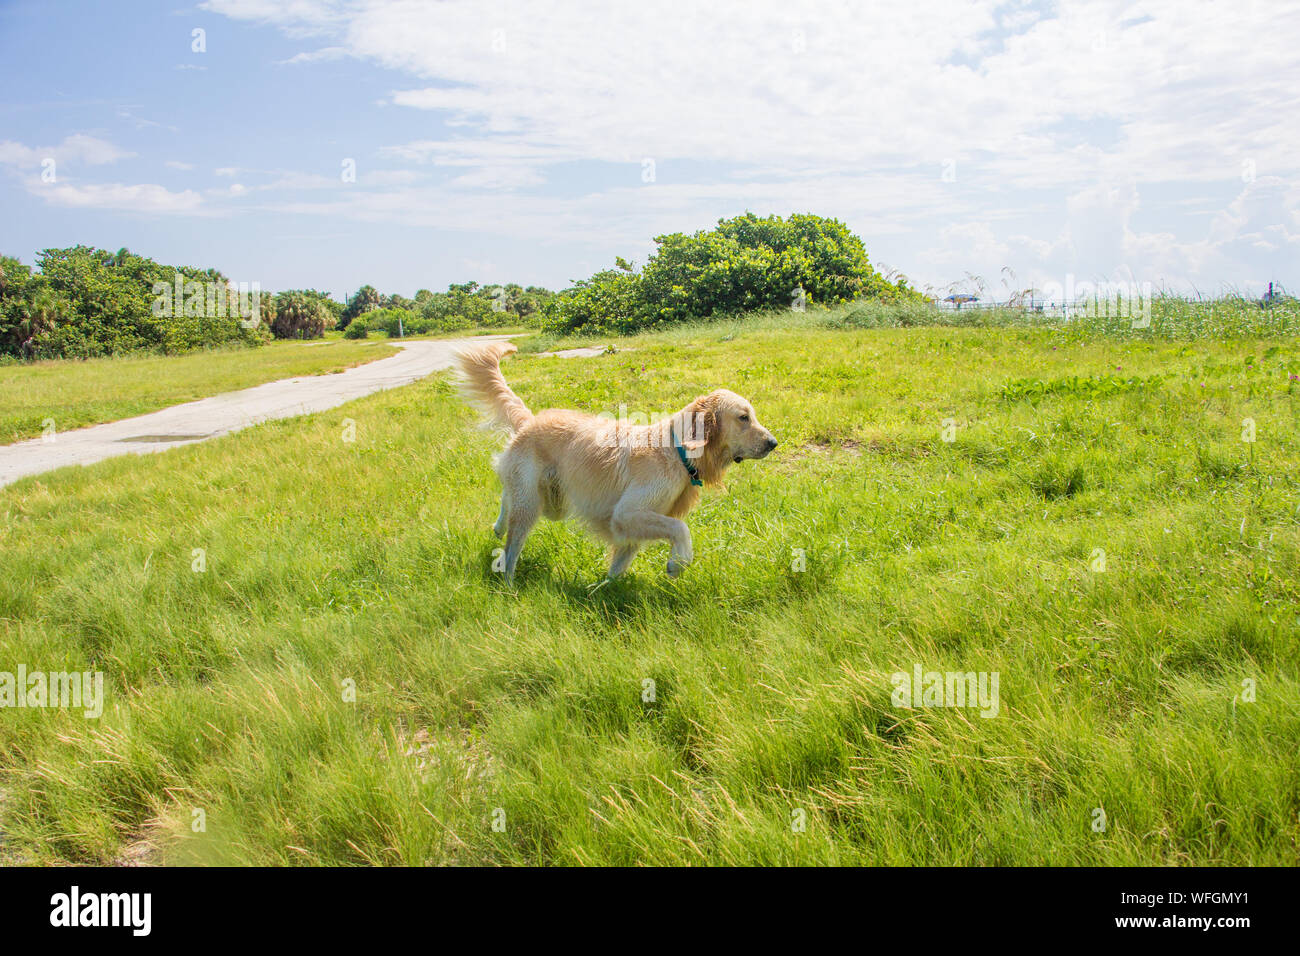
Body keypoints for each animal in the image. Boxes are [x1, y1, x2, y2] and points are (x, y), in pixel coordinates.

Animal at [454, 343, 774, 582]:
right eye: (743, 417)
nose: (774, 443)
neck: (677, 451)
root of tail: (530, 420)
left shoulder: (630, 530)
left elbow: (615, 572)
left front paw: (603, 589)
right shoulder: (627, 512)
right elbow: (680, 528)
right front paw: (678, 562)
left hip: (552, 503)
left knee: (507, 494)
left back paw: (497, 526)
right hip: (531, 506)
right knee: (511, 549)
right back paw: (509, 582)